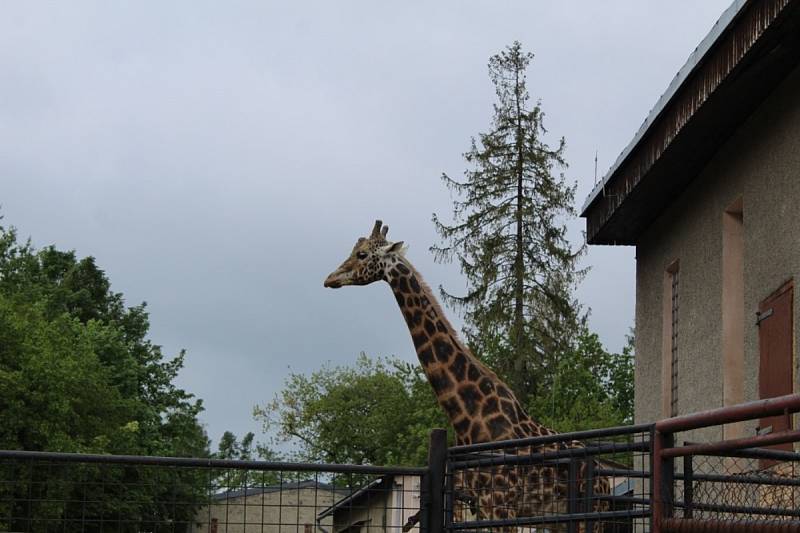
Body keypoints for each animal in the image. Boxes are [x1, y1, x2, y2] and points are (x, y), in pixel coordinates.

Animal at [322, 219, 608, 528]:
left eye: (362, 254)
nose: (330, 279)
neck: (468, 415)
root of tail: (604, 476)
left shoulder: (500, 504)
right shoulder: (480, 504)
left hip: (591, 514)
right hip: (559, 518)